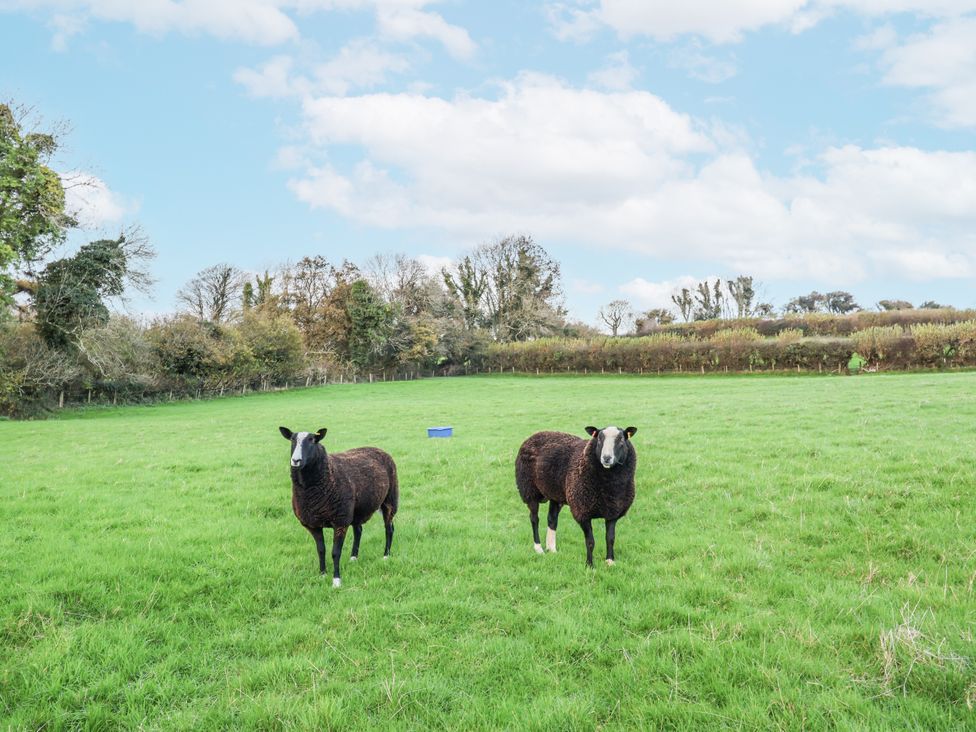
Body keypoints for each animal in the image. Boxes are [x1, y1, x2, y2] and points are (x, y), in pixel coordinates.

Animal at [279, 426, 398, 587]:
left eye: (312, 440)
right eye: (292, 439)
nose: (296, 460)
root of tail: (377, 448)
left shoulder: (340, 521)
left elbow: (335, 552)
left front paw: (336, 580)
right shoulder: (313, 524)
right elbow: (321, 550)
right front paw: (322, 574)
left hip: (389, 500)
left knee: (389, 529)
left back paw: (386, 555)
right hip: (356, 510)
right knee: (359, 530)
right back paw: (354, 557)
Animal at [515, 426, 637, 567]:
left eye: (621, 440)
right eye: (599, 440)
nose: (606, 458)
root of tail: (535, 434)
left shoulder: (613, 512)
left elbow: (610, 539)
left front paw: (610, 562)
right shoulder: (582, 511)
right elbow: (590, 542)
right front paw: (590, 565)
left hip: (555, 494)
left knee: (552, 520)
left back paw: (552, 549)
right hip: (529, 491)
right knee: (534, 519)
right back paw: (539, 548)